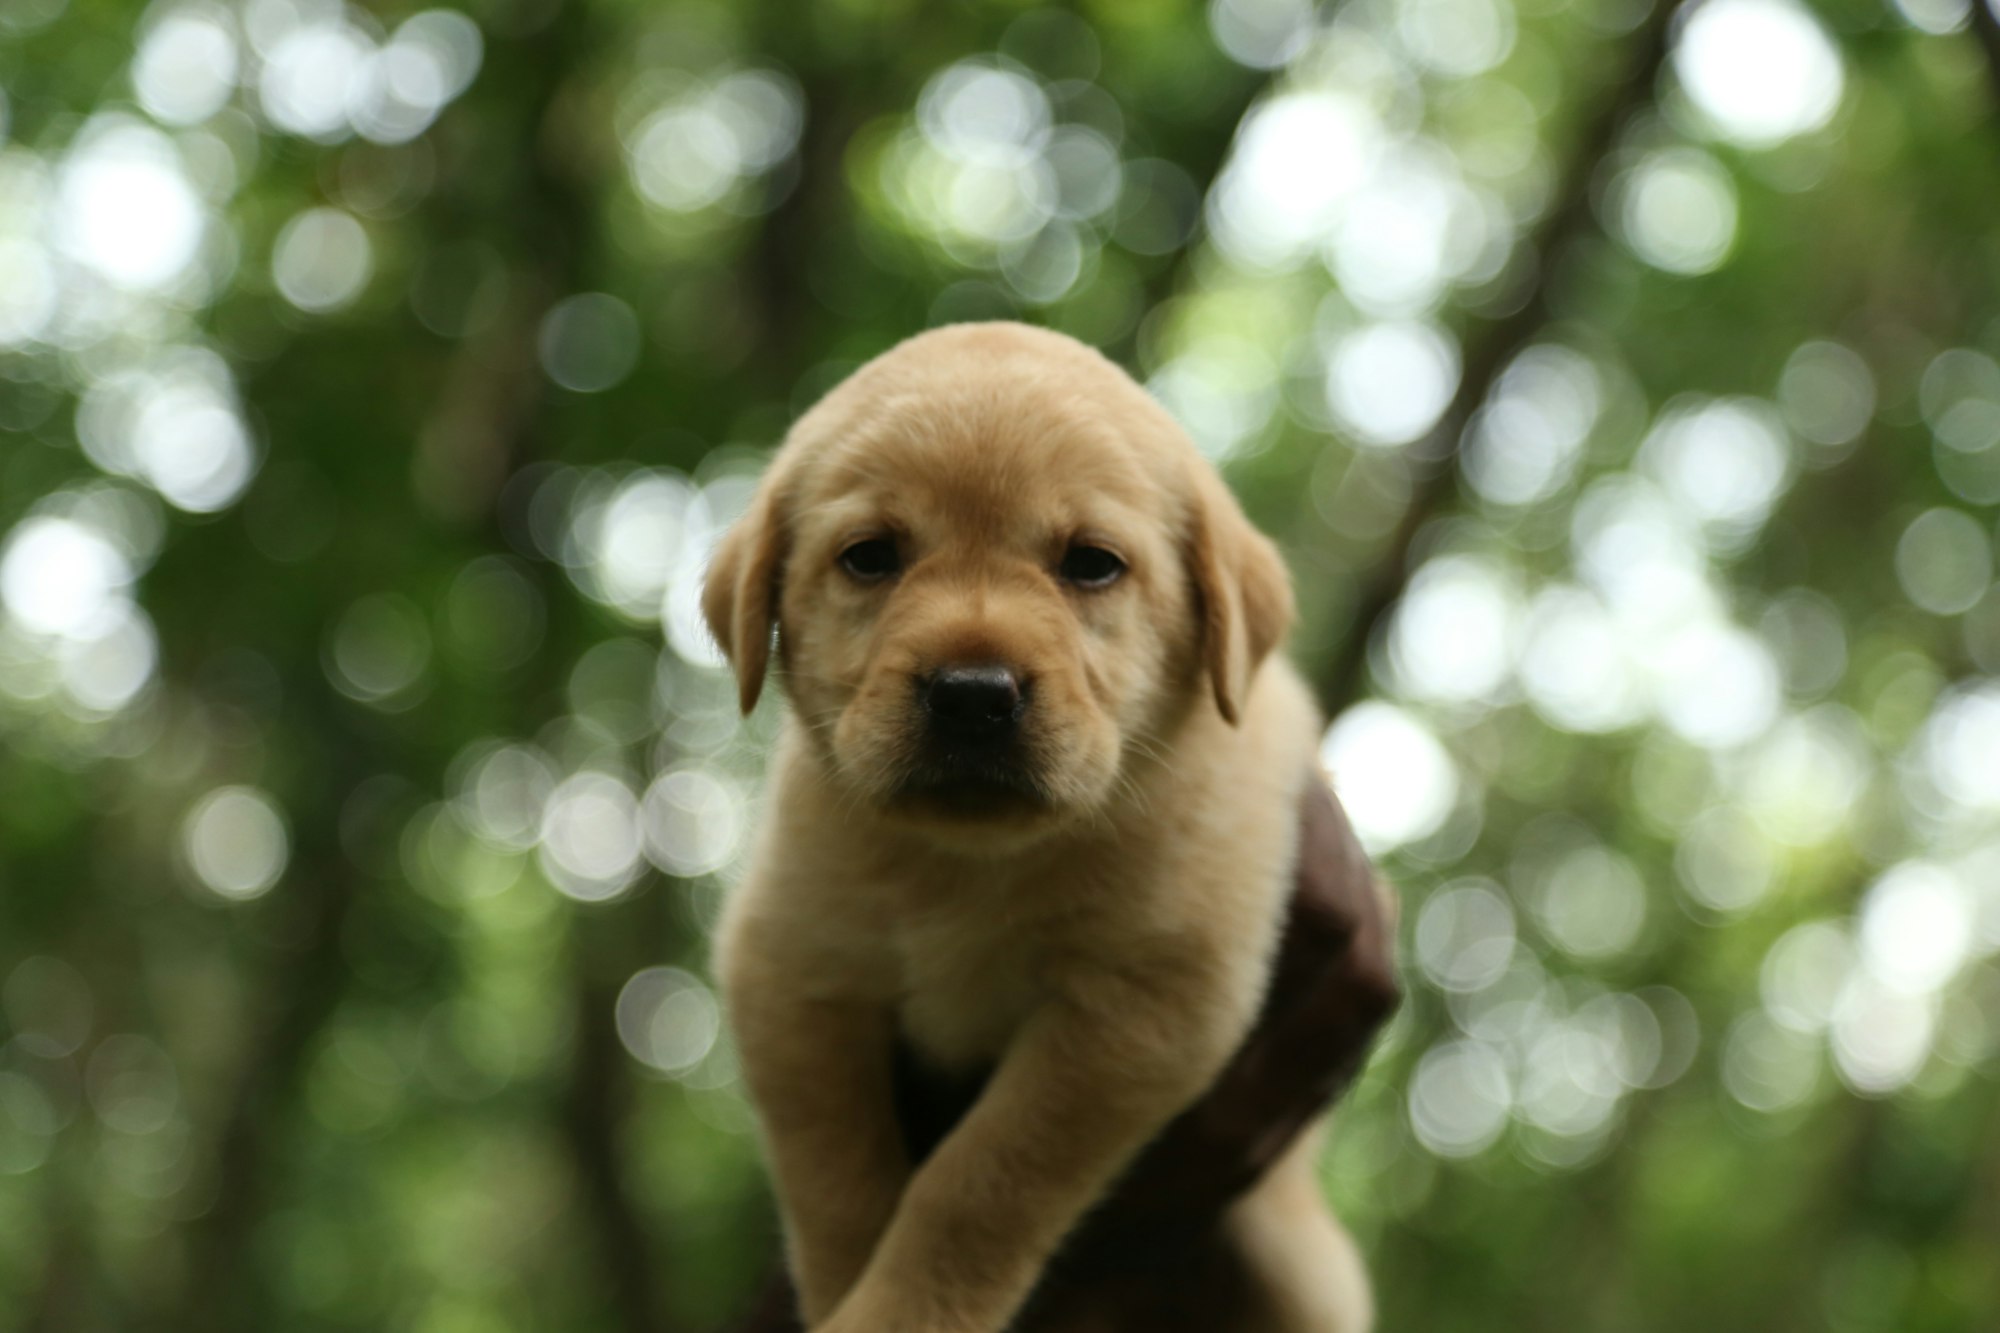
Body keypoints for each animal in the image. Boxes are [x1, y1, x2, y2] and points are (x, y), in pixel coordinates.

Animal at [704, 322, 1376, 1328]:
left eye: (1091, 563)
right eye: (870, 556)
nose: (972, 696)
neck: (972, 864)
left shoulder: (1146, 1001)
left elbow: (981, 1180)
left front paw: (903, 1309)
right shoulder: (791, 967)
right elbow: (837, 1178)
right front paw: (849, 1292)